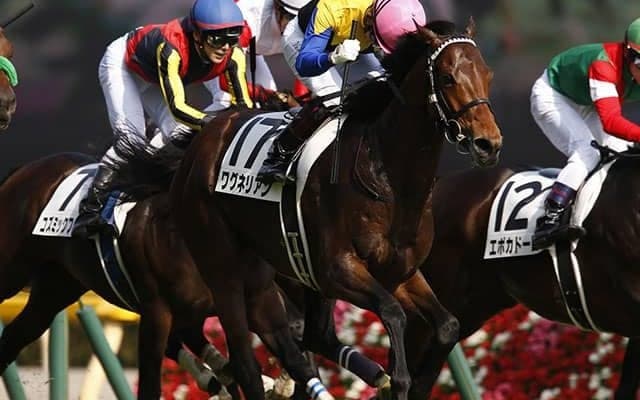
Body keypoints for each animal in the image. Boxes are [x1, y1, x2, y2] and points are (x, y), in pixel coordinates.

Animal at [168, 18, 502, 400]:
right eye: (447, 77)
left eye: (487, 74)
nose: (488, 143)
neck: (389, 182)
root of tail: (203, 139)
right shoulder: (338, 269)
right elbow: (393, 314)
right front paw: (397, 381)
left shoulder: (399, 272)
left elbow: (448, 325)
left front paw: (411, 383)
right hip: (223, 270)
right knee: (244, 360)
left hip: (277, 272)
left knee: (313, 335)